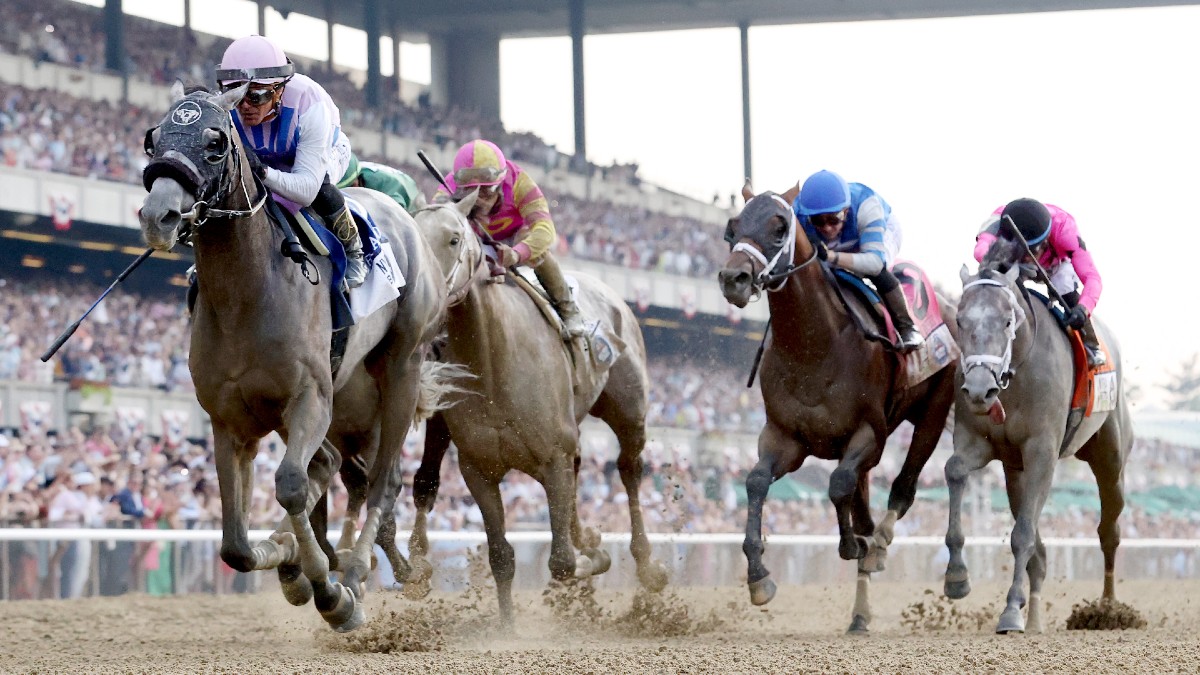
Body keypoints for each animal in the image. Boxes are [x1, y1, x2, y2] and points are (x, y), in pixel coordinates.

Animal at [137, 82, 453, 624]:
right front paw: (291, 563)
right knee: (331, 466)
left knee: (382, 481)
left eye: (215, 143)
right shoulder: (230, 421)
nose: (160, 216)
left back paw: (354, 573)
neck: (247, 294)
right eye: (152, 140)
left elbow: (289, 484)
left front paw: (330, 593)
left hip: (400, 367)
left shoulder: (310, 397)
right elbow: (237, 546)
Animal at [410, 193, 672, 619]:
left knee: (629, 470)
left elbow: (563, 562)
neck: (493, 362)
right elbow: (501, 557)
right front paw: (507, 626)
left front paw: (592, 558)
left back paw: (647, 565)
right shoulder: (478, 469)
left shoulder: (553, 456)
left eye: (453, 239)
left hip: (629, 412)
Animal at [715, 184, 960, 629]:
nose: (733, 279)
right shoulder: (785, 438)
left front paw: (853, 546)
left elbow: (837, 484)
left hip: (933, 411)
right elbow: (756, 482)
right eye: (732, 227)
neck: (813, 345)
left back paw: (881, 549)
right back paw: (860, 613)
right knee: (865, 506)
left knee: (902, 489)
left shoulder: (869, 435)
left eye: (780, 227)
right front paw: (759, 576)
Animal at [945, 237, 1132, 629]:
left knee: (1109, 530)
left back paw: (1108, 609)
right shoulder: (978, 442)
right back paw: (1034, 618)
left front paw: (1009, 612)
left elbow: (1023, 535)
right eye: (960, 320)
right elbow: (954, 470)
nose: (979, 389)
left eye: (1006, 321)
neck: (1015, 377)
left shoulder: (1041, 452)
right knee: (1040, 551)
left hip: (1111, 459)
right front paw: (957, 577)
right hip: (1015, 473)